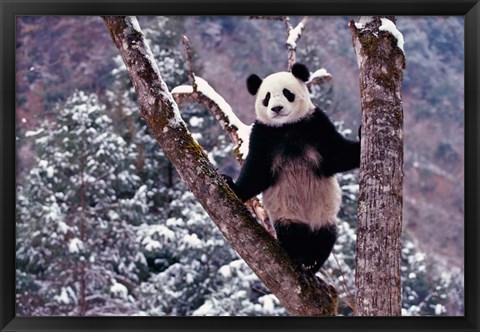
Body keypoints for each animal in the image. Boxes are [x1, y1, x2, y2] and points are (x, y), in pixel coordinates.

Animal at [225, 63, 360, 274]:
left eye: (287, 93)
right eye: (267, 97)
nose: (277, 108)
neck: (286, 127)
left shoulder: (315, 124)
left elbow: (338, 154)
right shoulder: (263, 135)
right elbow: (256, 172)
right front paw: (232, 185)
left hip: (323, 214)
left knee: (325, 236)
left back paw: (312, 261)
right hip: (287, 212)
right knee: (292, 233)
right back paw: (299, 256)